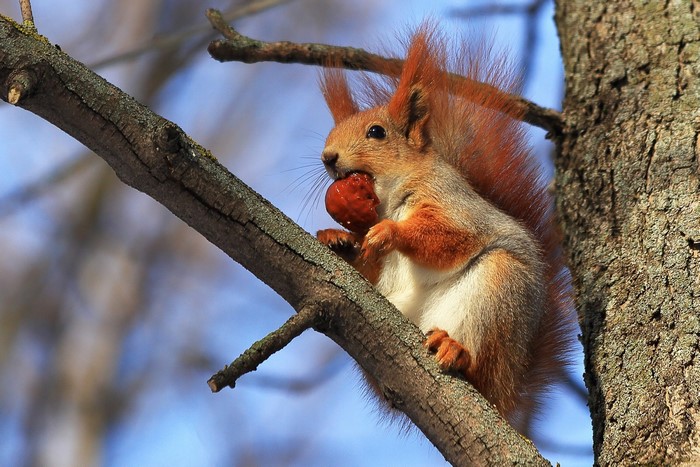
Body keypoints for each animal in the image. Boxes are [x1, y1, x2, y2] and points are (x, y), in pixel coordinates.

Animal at [316, 23, 575, 431]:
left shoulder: (454, 204)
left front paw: (391, 233)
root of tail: (509, 388)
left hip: (500, 291)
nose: (328, 157)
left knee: (480, 368)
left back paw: (458, 352)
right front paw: (337, 239)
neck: (389, 199)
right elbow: (367, 271)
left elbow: (450, 240)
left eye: (376, 132)